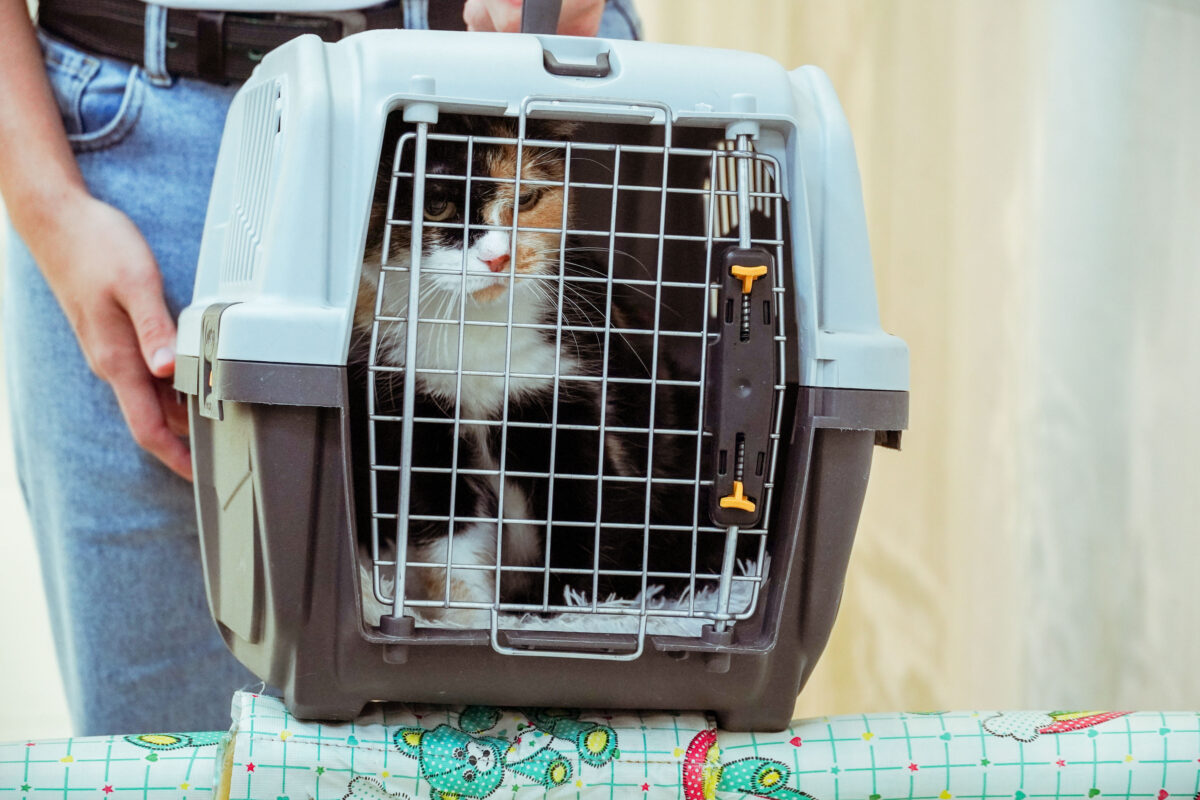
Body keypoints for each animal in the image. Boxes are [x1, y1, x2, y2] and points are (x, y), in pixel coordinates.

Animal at [353, 114, 701, 628]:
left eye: (527, 199)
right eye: (435, 204)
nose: (499, 258)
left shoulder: (571, 405)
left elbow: (584, 519)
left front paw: (568, 619)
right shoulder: (413, 410)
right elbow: (444, 532)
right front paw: (470, 621)